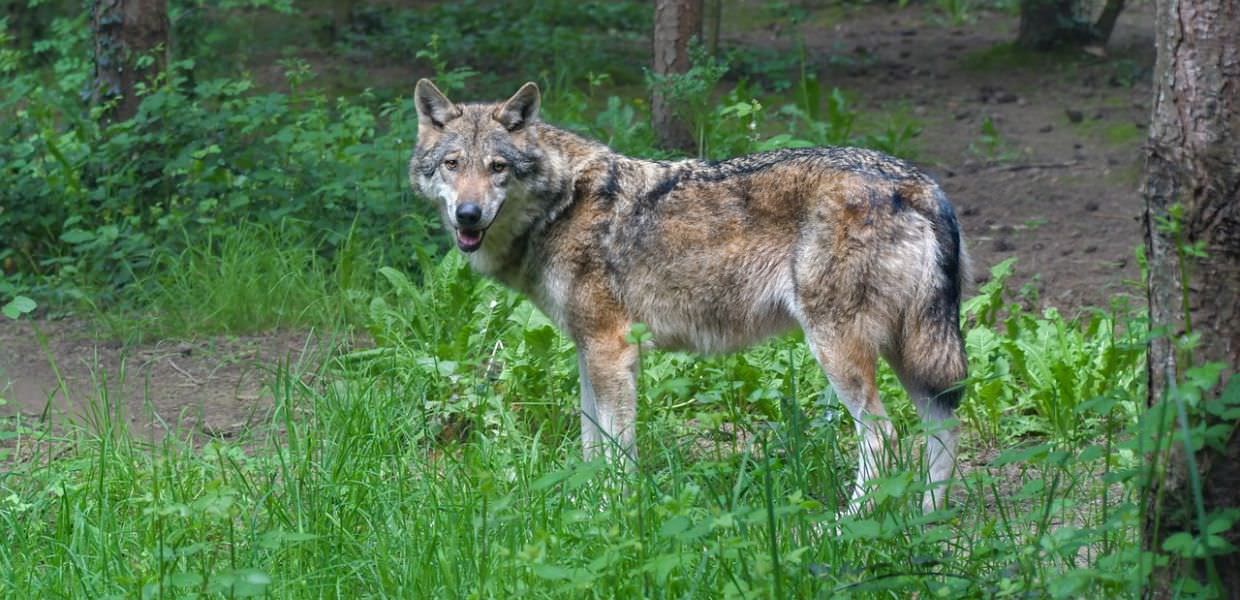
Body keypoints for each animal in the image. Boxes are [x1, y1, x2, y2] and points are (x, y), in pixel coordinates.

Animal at [410, 80, 969, 511]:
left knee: (884, 437)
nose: (467, 214)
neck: (563, 204)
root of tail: (919, 183)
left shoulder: (612, 350)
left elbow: (616, 451)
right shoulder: (588, 351)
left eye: (498, 167)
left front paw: (613, 512)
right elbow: (591, 445)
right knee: (943, 427)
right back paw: (926, 521)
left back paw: (843, 527)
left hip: (840, 350)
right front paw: (583, 509)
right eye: (452, 164)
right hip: (910, 352)